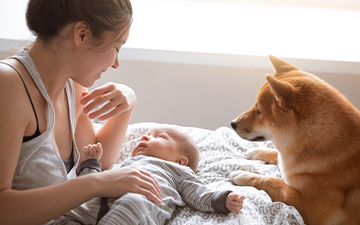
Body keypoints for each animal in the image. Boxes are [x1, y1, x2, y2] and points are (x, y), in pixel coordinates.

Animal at [229, 55, 360, 225]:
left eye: (259, 111)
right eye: (255, 107)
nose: (232, 123)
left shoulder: (308, 206)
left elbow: (274, 182)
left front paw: (245, 175)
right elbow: (275, 154)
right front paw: (258, 152)